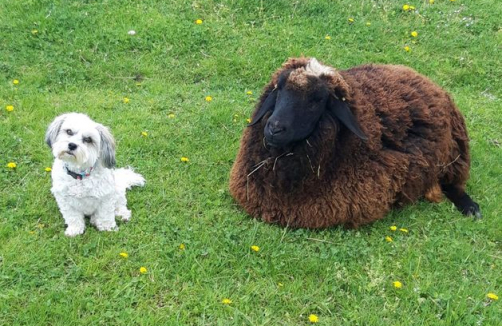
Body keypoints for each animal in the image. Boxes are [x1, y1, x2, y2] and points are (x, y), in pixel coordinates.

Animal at [229, 57, 480, 228]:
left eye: (317, 100)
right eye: (279, 89)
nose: (274, 128)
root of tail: (423, 78)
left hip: (452, 155)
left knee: (453, 183)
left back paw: (470, 208)